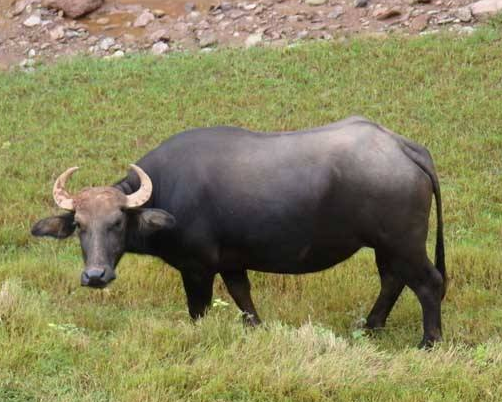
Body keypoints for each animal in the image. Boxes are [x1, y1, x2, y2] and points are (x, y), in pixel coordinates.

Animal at [33, 114, 446, 348]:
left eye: (117, 222)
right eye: (80, 226)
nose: (95, 276)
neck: (167, 190)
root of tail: (401, 146)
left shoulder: (197, 268)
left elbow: (198, 309)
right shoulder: (232, 263)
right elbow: (242, 296)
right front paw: (257, 328)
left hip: (404, 241)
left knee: (429, 283)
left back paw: (429, 341)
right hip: (384, 244)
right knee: (392, 279)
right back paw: (371, 326)